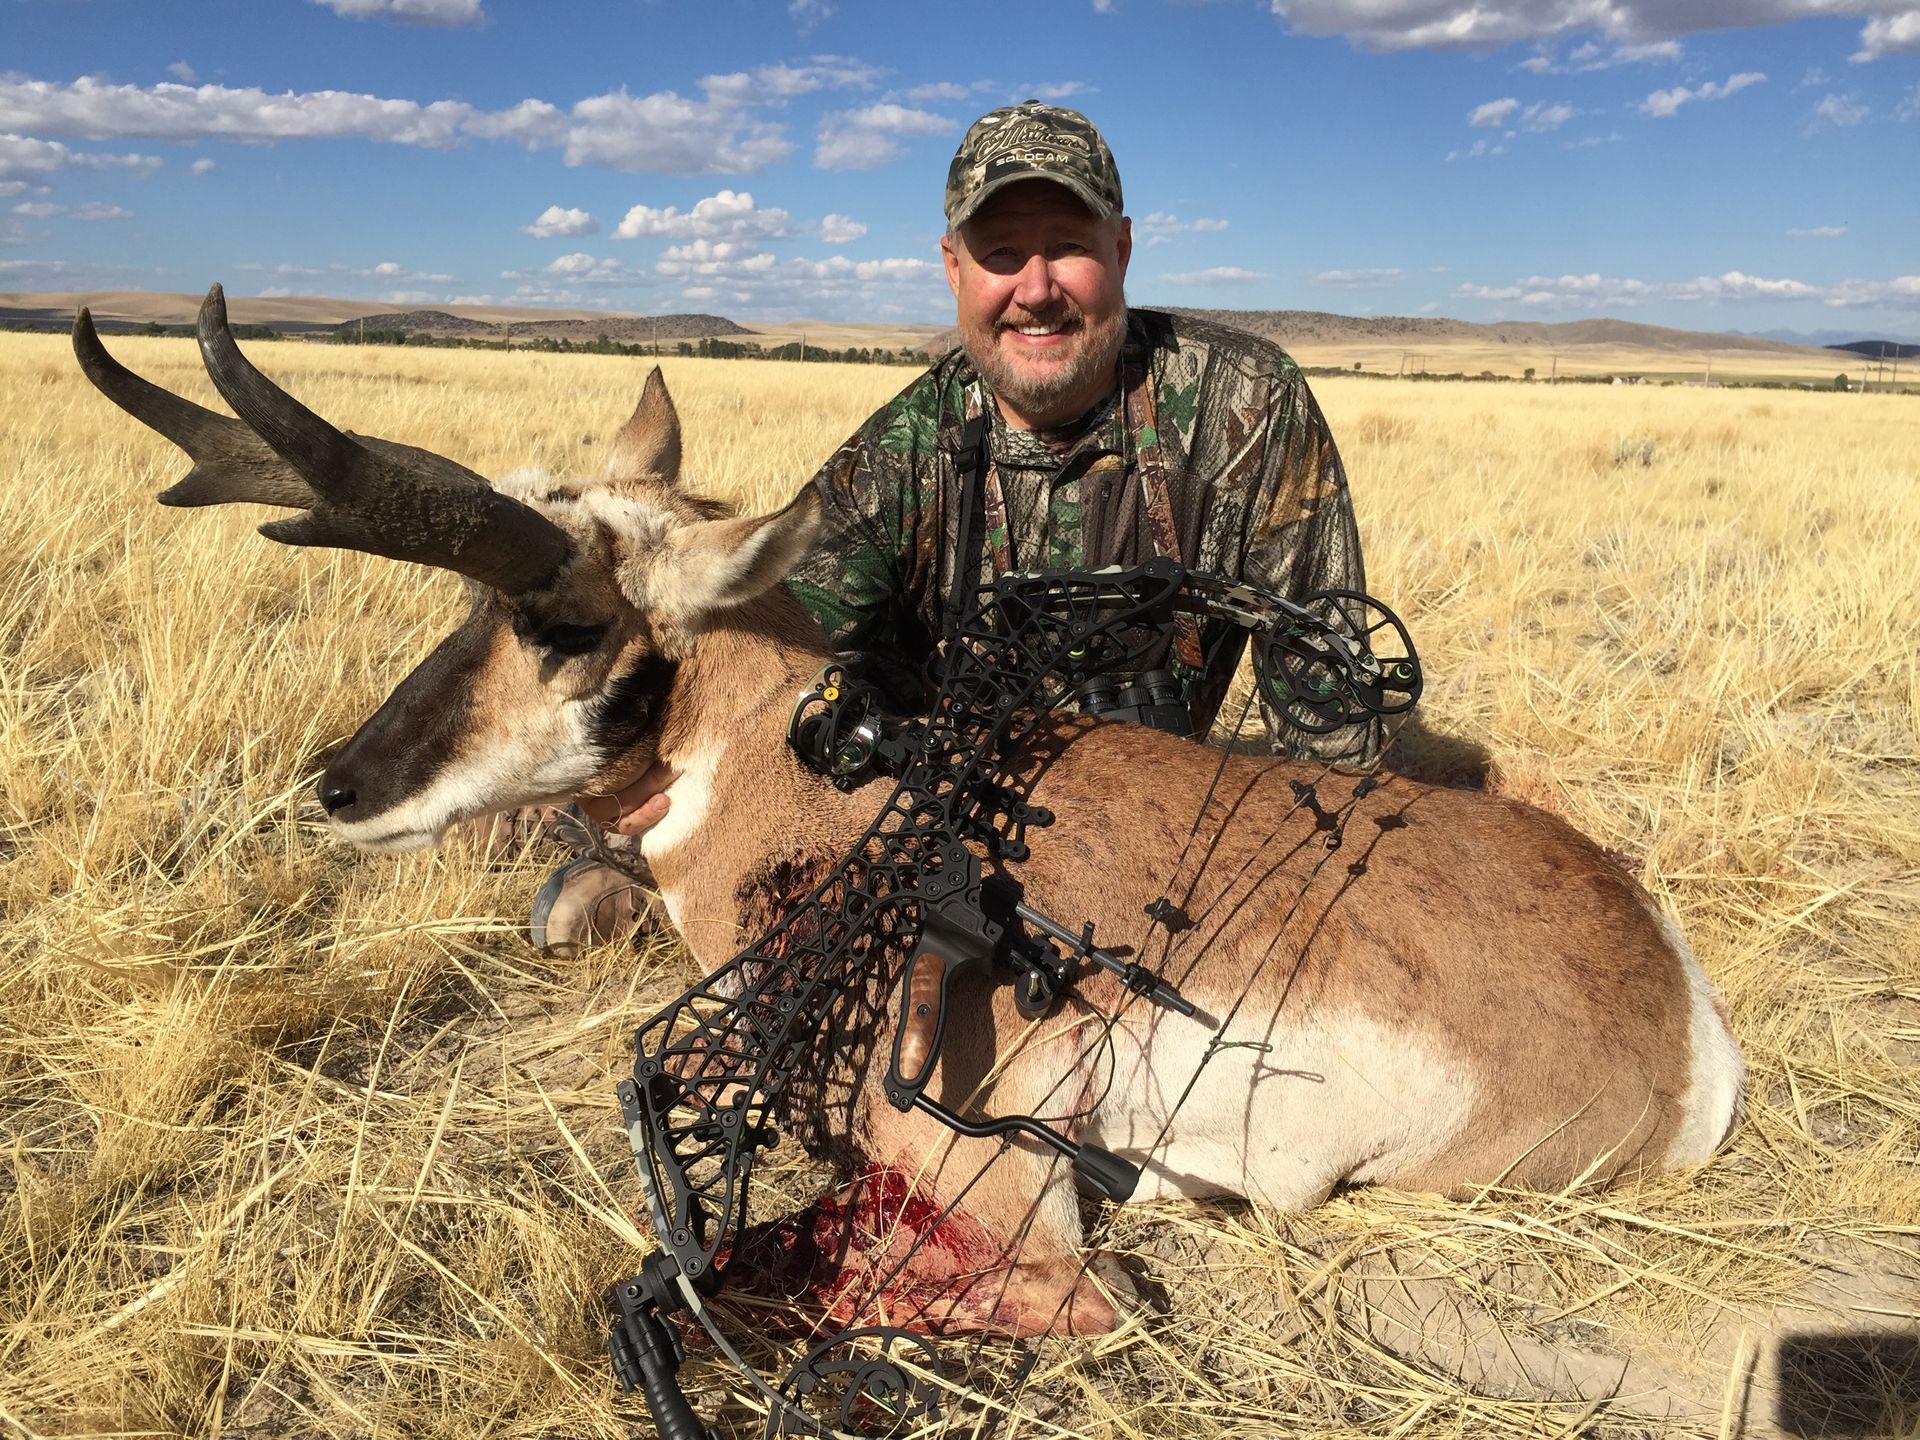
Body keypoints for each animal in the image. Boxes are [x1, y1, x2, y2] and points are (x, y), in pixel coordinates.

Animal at [76, 287, 1745, 1338]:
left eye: (560, 623)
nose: (342, 788)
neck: (822, 780)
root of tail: (1677, 1016)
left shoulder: (966, 1154)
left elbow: (1066, 1294)